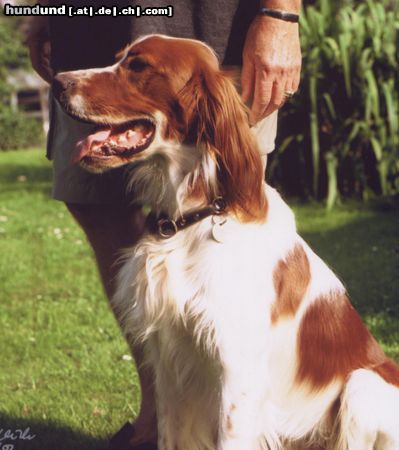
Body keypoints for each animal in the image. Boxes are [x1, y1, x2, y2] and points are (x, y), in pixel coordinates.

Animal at [54, 35, 399, 450]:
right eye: (118, 58)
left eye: (138, 66)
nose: (57, 82)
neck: (188, 219)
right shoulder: (170, 366)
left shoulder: (238, 374)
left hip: (363, 385)